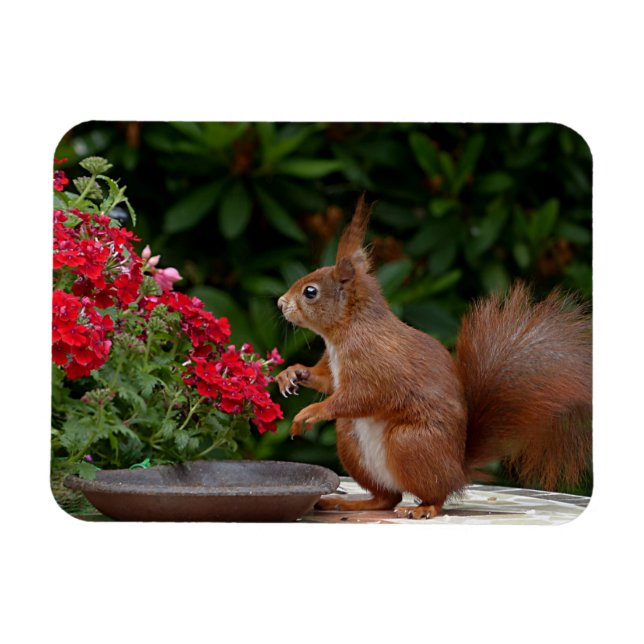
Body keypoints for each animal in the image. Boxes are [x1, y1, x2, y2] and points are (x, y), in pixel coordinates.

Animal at [276, 195, 592, 519]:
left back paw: (423, 508)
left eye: (310, 292)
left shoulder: (376, 361)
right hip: (351, 440)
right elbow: (327, 381)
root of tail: (458, 470)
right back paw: (349, 502)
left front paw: (311, 412)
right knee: (387, 498)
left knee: (434, 494)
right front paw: (292, 374)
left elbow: (363, 395)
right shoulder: (335, 366)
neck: (346, 331)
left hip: (410, 443)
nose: (280, 303)